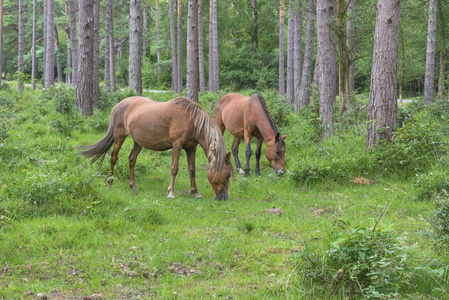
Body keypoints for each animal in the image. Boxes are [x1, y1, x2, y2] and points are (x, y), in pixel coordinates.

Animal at [79, 96, 231, 199]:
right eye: (228, 175)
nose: (223, 197)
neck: (191, 120)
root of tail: (119, 104)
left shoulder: (191, 148)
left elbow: (192, 170)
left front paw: (195, 192)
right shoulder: (177, 145)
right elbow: (174, 169)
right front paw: (171, 192)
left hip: (138, 142)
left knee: (132, 160)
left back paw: (133, 186)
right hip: (119, 137)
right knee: (113, 158)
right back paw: (110, 182)